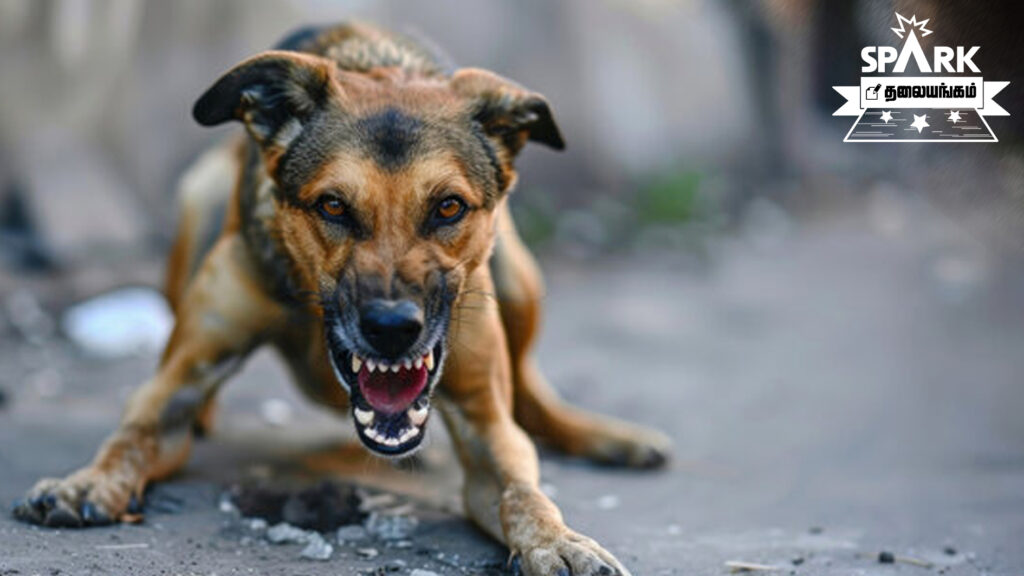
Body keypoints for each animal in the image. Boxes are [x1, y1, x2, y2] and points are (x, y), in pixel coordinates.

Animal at [18, 22, 671, 573]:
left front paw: (559, 540)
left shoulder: (488, 425)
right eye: (332, 205)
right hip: (198, 202)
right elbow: (135, 433)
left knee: (532, 397)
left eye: (448, 207)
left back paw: (607, 436)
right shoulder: (177, 383)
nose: (391, 328)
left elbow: (522, 489)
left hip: (516, 275)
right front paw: (87, 481)